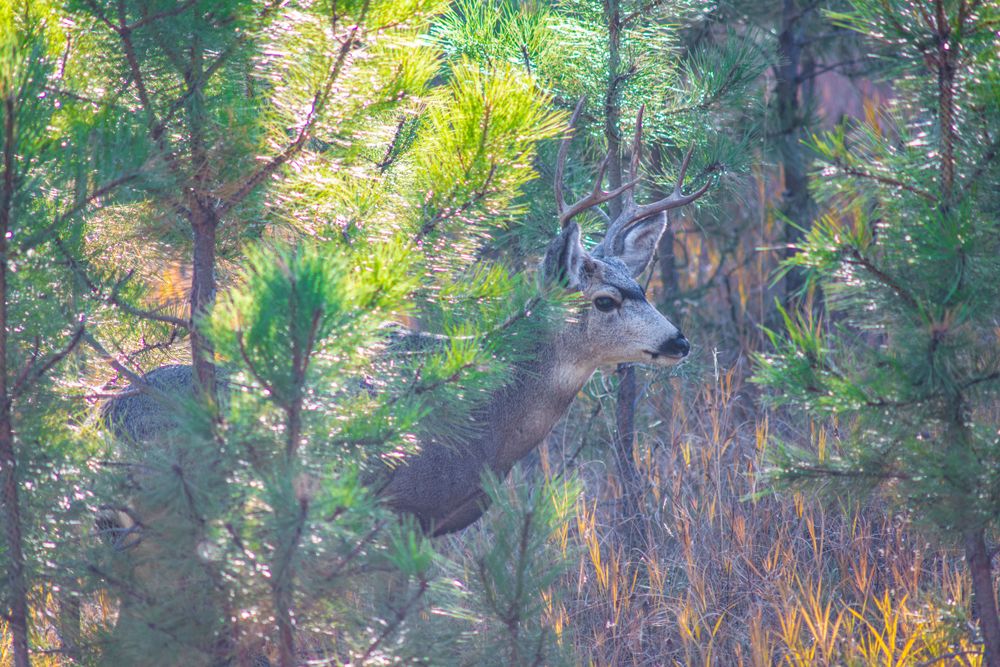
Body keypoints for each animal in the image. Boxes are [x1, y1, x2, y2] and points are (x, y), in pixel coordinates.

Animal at [102, 100, 713, 537]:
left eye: (642, 286)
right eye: (605, 301)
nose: (679, 341)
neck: (490, 422)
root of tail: (109, 412)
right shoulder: (397, 505)